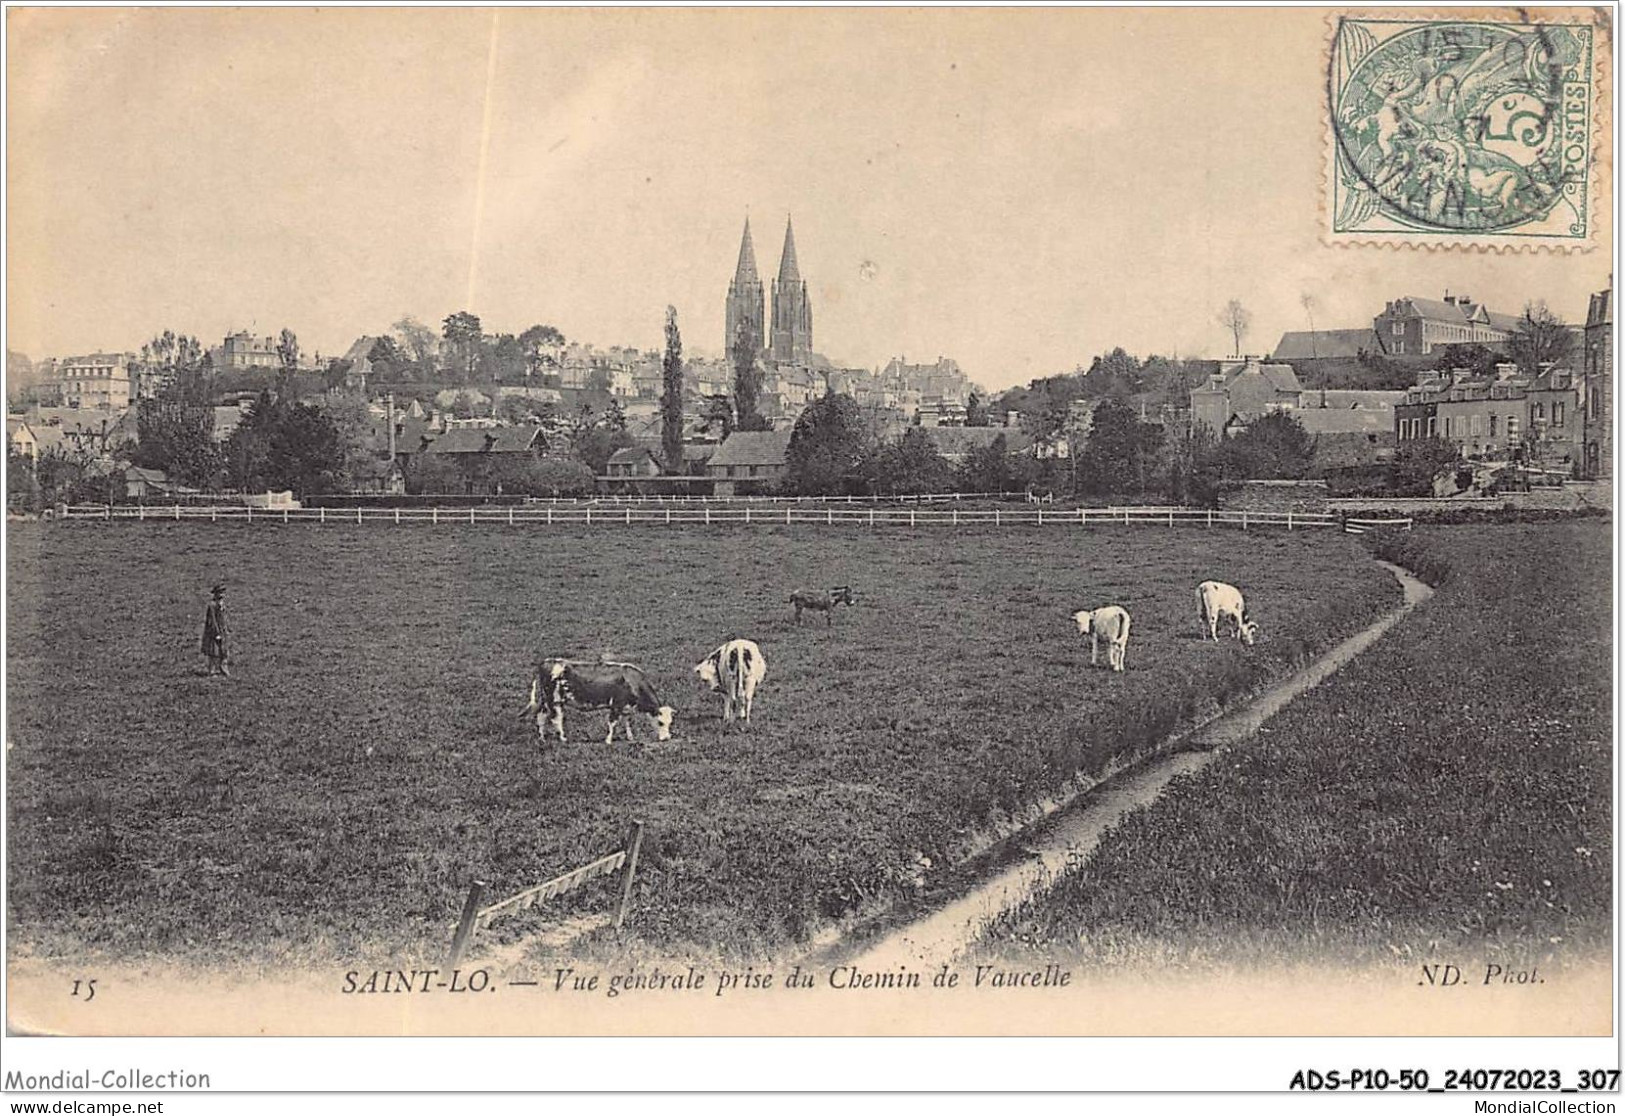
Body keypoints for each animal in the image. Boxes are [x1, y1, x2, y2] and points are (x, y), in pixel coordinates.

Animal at [520, 659, 672, 747]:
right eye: (660, 722)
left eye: (670, 722)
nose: (666, 738)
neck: (631, 680)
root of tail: (546, 662)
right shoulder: (616, 704)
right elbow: (613, 723)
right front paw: (608, 741)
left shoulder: (625, 707)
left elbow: (627, 722)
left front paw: (630, 737)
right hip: (554, 700)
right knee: (555, 719)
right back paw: (563, 738)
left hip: (546, 700)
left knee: (541, 716)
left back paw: (542, 738)